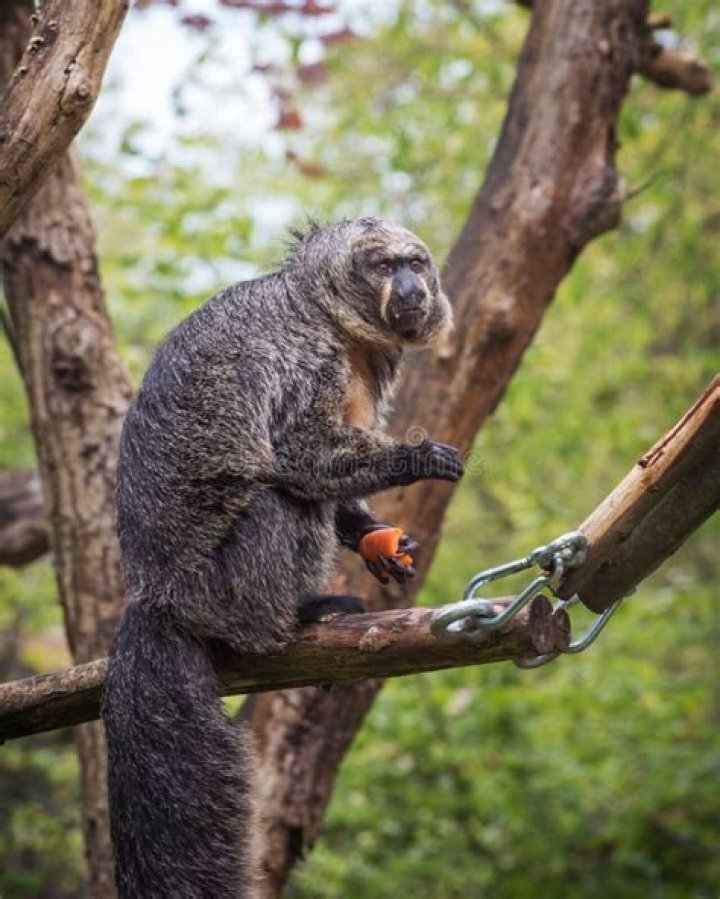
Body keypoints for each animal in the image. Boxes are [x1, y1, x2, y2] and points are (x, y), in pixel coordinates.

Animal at [103, 217, 463, 898]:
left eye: (415, 263)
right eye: (383, 267)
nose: (410, 288)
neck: (332, 322)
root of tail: (158, 596)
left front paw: (375, 540)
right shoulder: (310, 360)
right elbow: (300, 456)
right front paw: (416, 457)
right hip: (218, 589)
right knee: (280, 495)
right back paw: (293, 617)